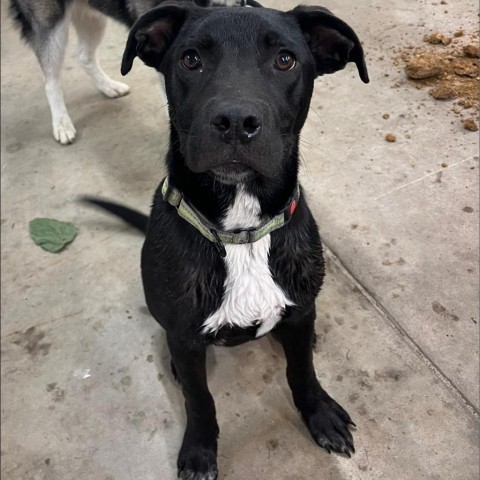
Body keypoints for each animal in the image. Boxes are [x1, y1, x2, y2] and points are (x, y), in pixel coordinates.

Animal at [9, 0, 256, 144]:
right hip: (51, 24)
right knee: (51, 80)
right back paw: (61, 123)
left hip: (92, 17)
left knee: (84, 56)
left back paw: (108, 87)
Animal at [84, 1, 368, 478]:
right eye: (190, 59)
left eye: (285, 59)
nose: (236, 123)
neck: (241, 234)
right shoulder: (185, 337)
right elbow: (199, 399)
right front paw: (200, 449)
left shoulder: (300, 309)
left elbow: (303, 371)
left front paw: (319, 413)